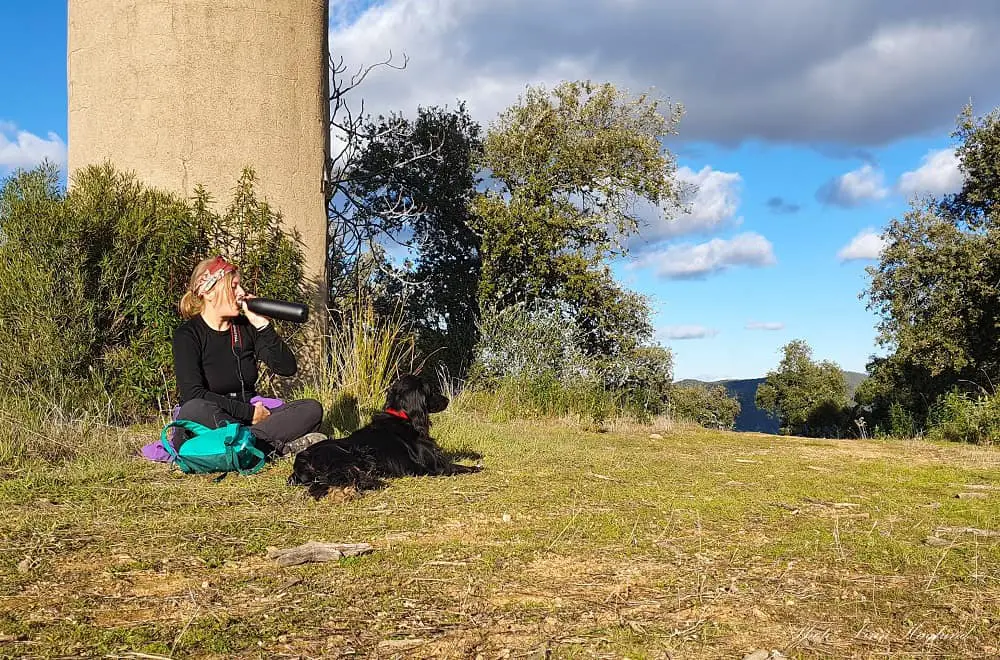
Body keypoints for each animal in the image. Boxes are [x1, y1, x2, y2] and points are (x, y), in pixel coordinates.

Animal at [288, 374, 482, 498]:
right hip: (355, 456)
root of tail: (302, 458)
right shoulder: (435, 466)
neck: (403, 416)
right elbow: (460, 467)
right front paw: (476, 467)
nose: (447, 400)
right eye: (431, 390)